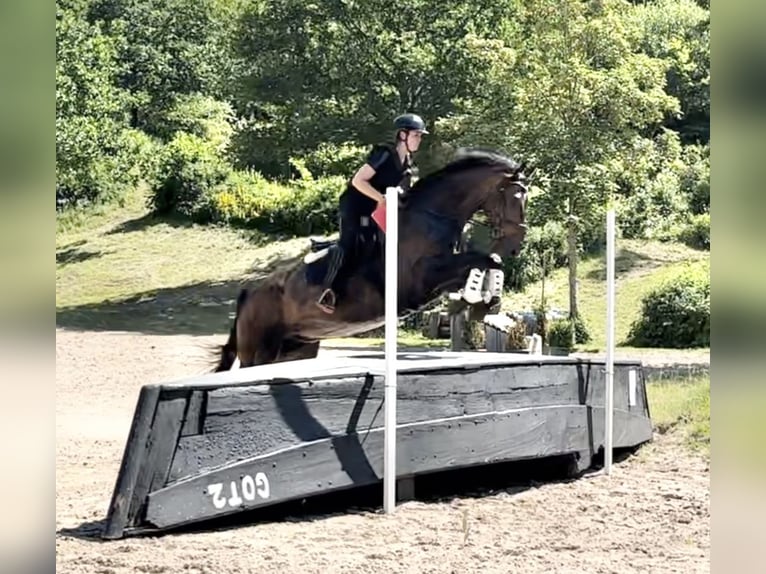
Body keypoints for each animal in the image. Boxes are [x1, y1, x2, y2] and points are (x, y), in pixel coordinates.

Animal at [213, 148, 532, 372]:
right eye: (516, 197)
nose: (515, 246)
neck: (432, 216)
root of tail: (248, 293)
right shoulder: (421, 278)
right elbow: (485, 258)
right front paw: (476, 301)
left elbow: (486, 262)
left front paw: (480, 302)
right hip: (258, 350)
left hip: (297, 348)